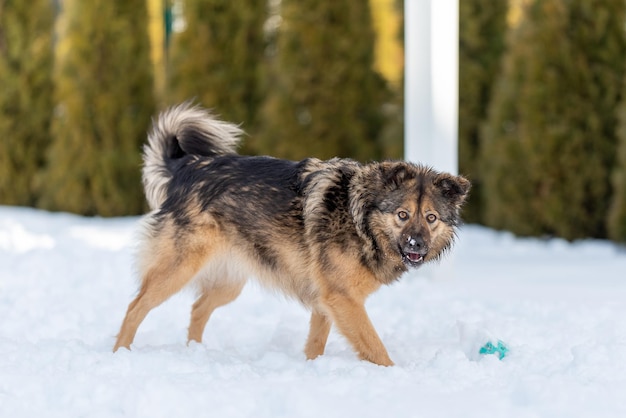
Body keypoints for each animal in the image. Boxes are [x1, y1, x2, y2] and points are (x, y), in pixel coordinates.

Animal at [113, 102, 468, 366]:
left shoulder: (327, 300)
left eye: (431, 218)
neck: (361, 221)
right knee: (135, 307)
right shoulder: (342, 299)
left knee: (198, 309)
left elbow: (316, 343)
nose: (416, 245)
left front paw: (311, 369)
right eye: (402, 215)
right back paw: (121, 353)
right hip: (178, 268)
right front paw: (393, 374)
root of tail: (187, 168)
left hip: (229, 281)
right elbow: (374, 346)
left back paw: (195, 352)